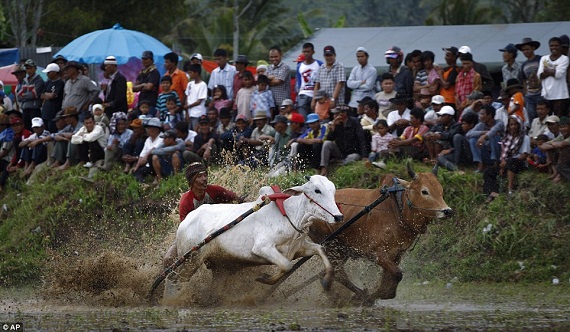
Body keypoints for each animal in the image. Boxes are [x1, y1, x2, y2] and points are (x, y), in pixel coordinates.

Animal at [173, 175, 342, 292]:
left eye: (333, 190)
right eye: (317, 190)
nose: (338, 216)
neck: (290, 215)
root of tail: (184, 222)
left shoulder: (299, 248)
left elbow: (320, 249)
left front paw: (327, 281)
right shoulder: (262, 248)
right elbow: (287, 265)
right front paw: (264, 279)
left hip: (219, 267)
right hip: (190, 261)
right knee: (177, 281)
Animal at [308, 162, 450, 304]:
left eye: (441, 191)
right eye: (424, 191)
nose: (447, 211)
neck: (398, 211)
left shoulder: (397, 253)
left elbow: (390, 279)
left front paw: (382, 293)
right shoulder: (376, 253)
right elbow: (397, 274)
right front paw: (374, 296)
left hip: (341, 250)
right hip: (331, 245)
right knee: (339, 274)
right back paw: (359, 295)